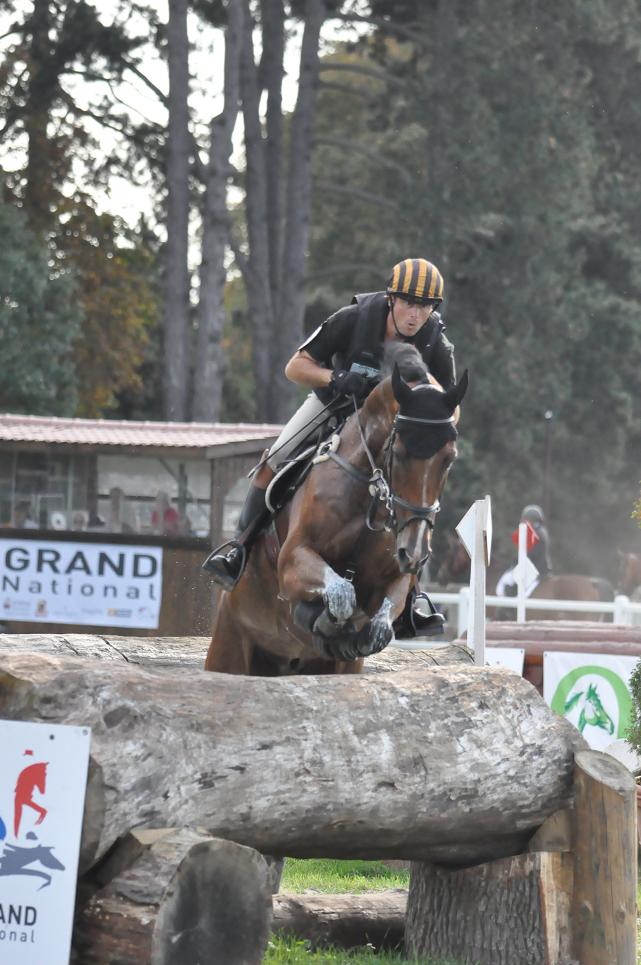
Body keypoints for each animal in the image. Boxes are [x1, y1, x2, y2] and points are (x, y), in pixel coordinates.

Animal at [208, 342, 468, 676]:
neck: (369, 492)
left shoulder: (395, 579)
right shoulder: (293, 558)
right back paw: (228, 563)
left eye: (449, 459)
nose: (414, 552)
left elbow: (383, 617)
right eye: (398, 453)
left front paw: (357, 632)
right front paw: (323, 617)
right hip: (228, 647)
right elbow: (342, 590)